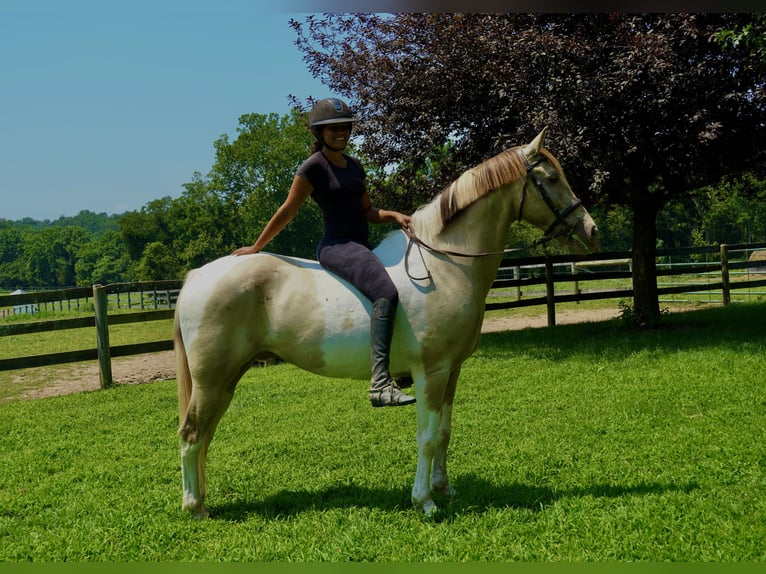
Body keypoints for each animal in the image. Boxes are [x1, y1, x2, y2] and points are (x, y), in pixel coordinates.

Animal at [174, 127, 599, 518]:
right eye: (551, 177)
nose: (590, 230)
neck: (444, 264)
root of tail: (198, 276)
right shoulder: (432, 372)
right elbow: (426, 436)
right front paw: (424, 501)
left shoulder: (452, 372)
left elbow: (445, 432)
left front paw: (443, 487)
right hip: (212, 380)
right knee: (192, 434)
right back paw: (195, 507)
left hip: (227, 379)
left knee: (205, 434)